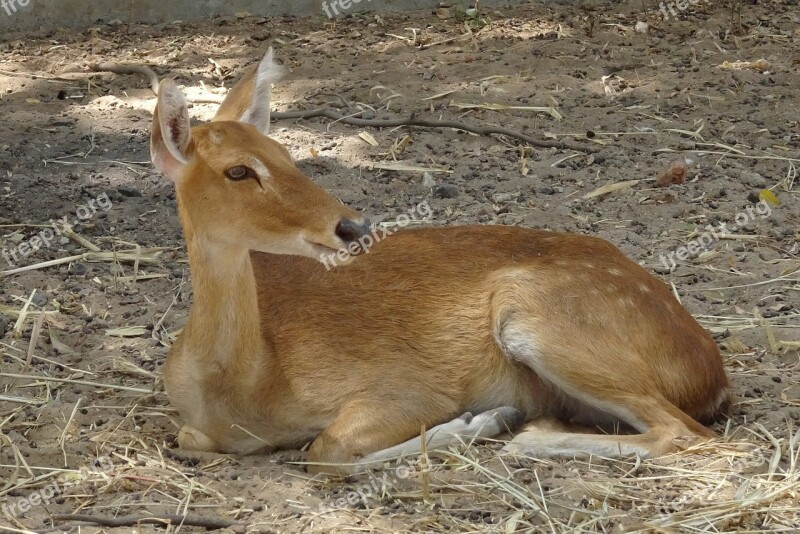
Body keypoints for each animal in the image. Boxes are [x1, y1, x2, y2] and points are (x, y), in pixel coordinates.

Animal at [152, 49, 732, 478]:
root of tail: (712, 373)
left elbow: (326, 451)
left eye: (287, 155)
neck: (248, 386)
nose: (351, 225)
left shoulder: (404, 386)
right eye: (238, 171)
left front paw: (479, 421)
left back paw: (524, 437)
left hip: (541, 321)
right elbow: (193, 439)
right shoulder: (193, 426)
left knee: (686, 432)